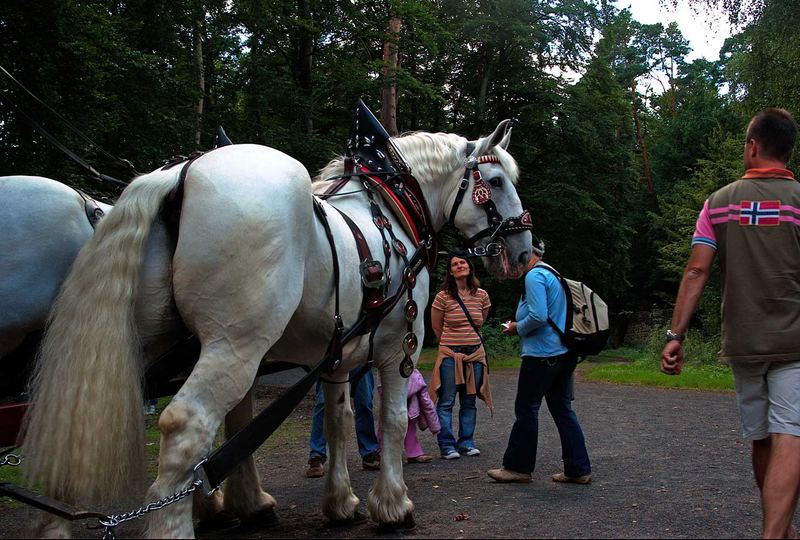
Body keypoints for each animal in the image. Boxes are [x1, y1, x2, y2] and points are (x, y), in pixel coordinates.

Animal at [21, 120, 532, 536]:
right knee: (186, 425)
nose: (526, 251)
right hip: (235, 344)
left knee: (78, 414)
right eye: (495, 181)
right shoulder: (399, 346)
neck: (390, 212)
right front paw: (393, 506)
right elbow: (391, 419)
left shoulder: (335, 355)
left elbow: (337, 420)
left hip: (149, 344)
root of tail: (179, 174)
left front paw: (339, 503)